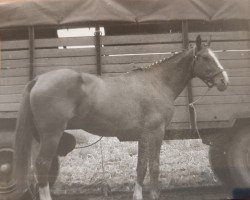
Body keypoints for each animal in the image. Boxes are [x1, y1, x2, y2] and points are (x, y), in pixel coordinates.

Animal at [12, 36, 229, 200]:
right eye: (205, 57)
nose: (224, 81)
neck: (157, 83)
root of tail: (39, 79)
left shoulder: (143, 135)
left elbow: (141, 167)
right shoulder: (156, 132)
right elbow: (154, 167)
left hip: (41, 137)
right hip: (51, 135)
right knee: (42, 165)